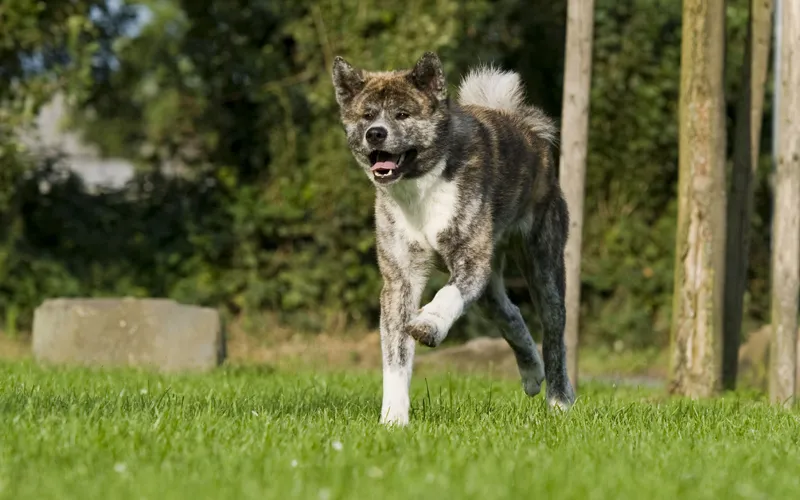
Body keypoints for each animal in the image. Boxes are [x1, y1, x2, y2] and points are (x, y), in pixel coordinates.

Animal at [332, 51, 576, 426]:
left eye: (402, 114)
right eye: (367, 115)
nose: (376, 134)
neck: (421, 189)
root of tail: (529, 129)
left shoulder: (470, 262)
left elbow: (447, 296)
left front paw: (429, 324)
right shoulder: (400, 280)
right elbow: (395, 358)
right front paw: (393, 418)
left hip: (544, 266)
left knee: (553, 334)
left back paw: (559, 399)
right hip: (490, 288)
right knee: (511, 314)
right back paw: (532, 374)